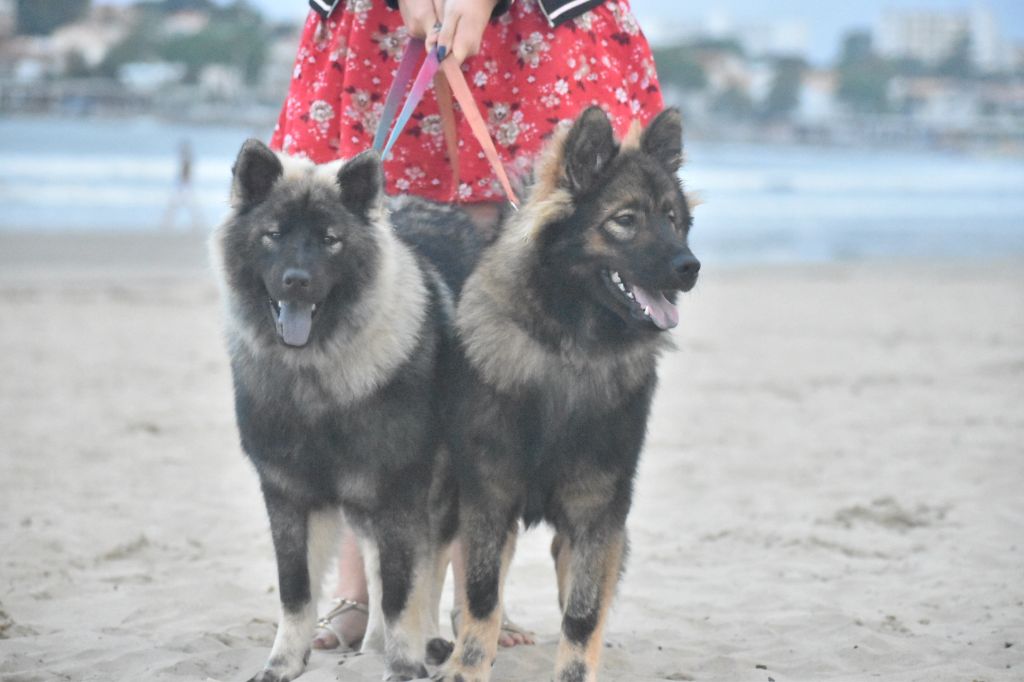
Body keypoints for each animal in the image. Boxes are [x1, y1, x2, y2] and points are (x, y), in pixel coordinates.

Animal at [211, 142, 460, 679]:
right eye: (274, 235)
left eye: (330, 241)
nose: (296, 282)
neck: (315, 376)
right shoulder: (289, 495)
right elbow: (296, 592)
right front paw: (283, 663)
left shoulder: (399, 493)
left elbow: (404, 589)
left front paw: (405, 663)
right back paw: (373, 643)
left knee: (433, 567)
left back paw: (427, 641)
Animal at [432, 107, 704, 679]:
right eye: (625, 220)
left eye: (671, 219)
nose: (690, 267)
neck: (571, 350)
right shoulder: (489, 496)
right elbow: (481, 597)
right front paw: (469, 667)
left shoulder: (597, 508)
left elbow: (582, 615)